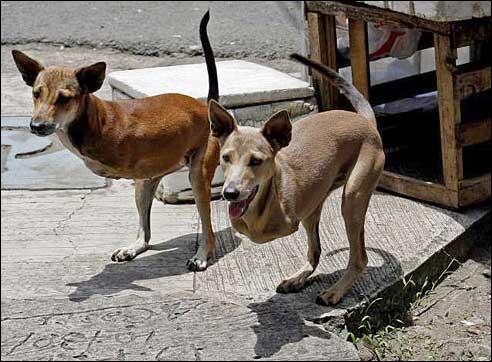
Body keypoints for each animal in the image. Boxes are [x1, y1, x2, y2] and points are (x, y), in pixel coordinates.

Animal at [12, 11, 219, 272]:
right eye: (36, 94)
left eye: (64, 99)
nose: (36, 126)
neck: (90, 119)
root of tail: (204, 108)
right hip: (144, 186)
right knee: (145, 234)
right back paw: (133, 248)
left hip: (198, 177)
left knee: (208, 229)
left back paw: (202, 254)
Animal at [208, 53, 384, 302]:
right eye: (225, 157)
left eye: (256, 161)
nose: (230, 193)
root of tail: (365, 121)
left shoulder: (288, 222)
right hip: (316, 209)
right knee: (315, 251)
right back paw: (297, 279)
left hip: (352, 198)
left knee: (359, 258)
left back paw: (335, 291)